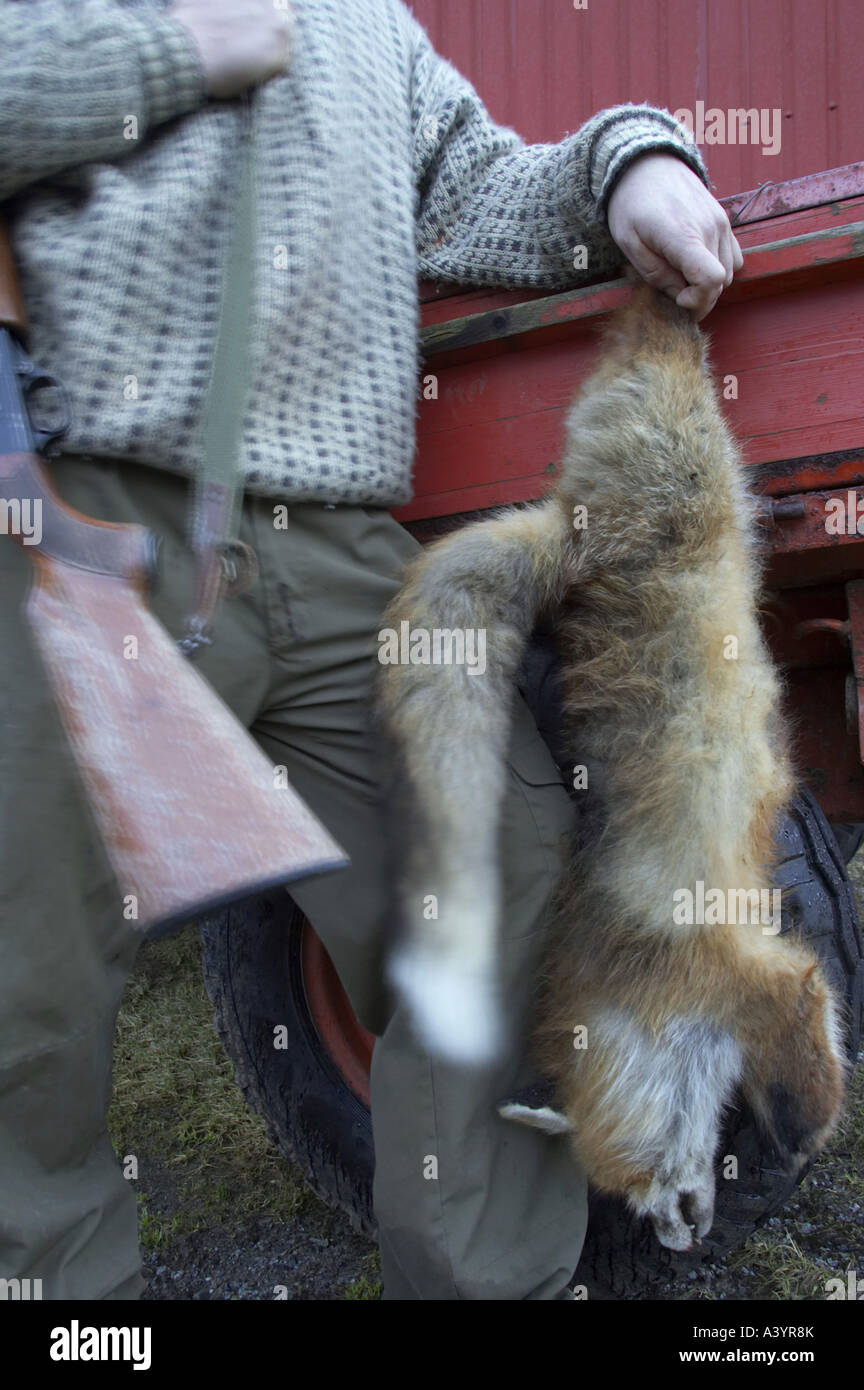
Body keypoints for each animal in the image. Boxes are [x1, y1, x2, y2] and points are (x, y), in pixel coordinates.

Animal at [375, 284, 850, 1251]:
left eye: (642, 1187)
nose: (681, 1236)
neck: (641, 985)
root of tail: (570, 530)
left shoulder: (755, 974)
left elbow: (810, 1046)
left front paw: (805, 1131)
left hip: (684, 461)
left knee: (655, 338)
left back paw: (663, 280)